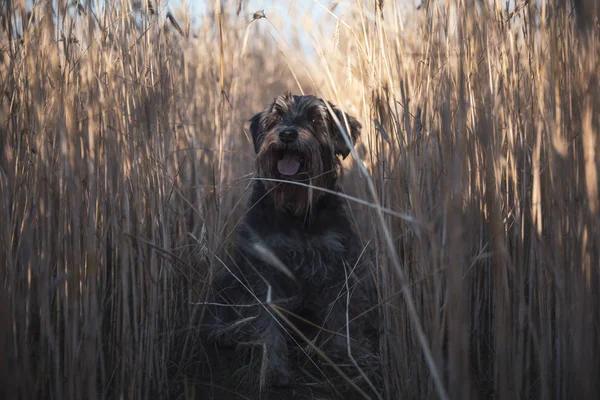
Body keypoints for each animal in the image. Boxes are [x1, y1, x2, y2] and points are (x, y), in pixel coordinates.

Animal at [203, 93, 370, 388]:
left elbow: (340, 313)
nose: (288, 134)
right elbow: (266, 322)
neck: (296, 208)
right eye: (277, 117)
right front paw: (273, 370)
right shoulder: (265, 269)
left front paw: (342, 356)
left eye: (315, 119)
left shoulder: (338, 262)